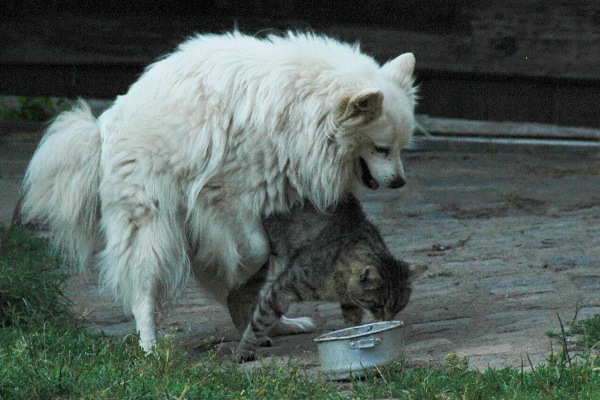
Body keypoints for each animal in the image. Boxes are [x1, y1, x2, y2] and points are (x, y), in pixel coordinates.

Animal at [231, 194, 426, 362]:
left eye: (399, 307)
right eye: (379, 305)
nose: (387, 321)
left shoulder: (350, 303)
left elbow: (353, 322)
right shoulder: (282, 290)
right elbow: (261, 319)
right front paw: (244, 350)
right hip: (254, 256)